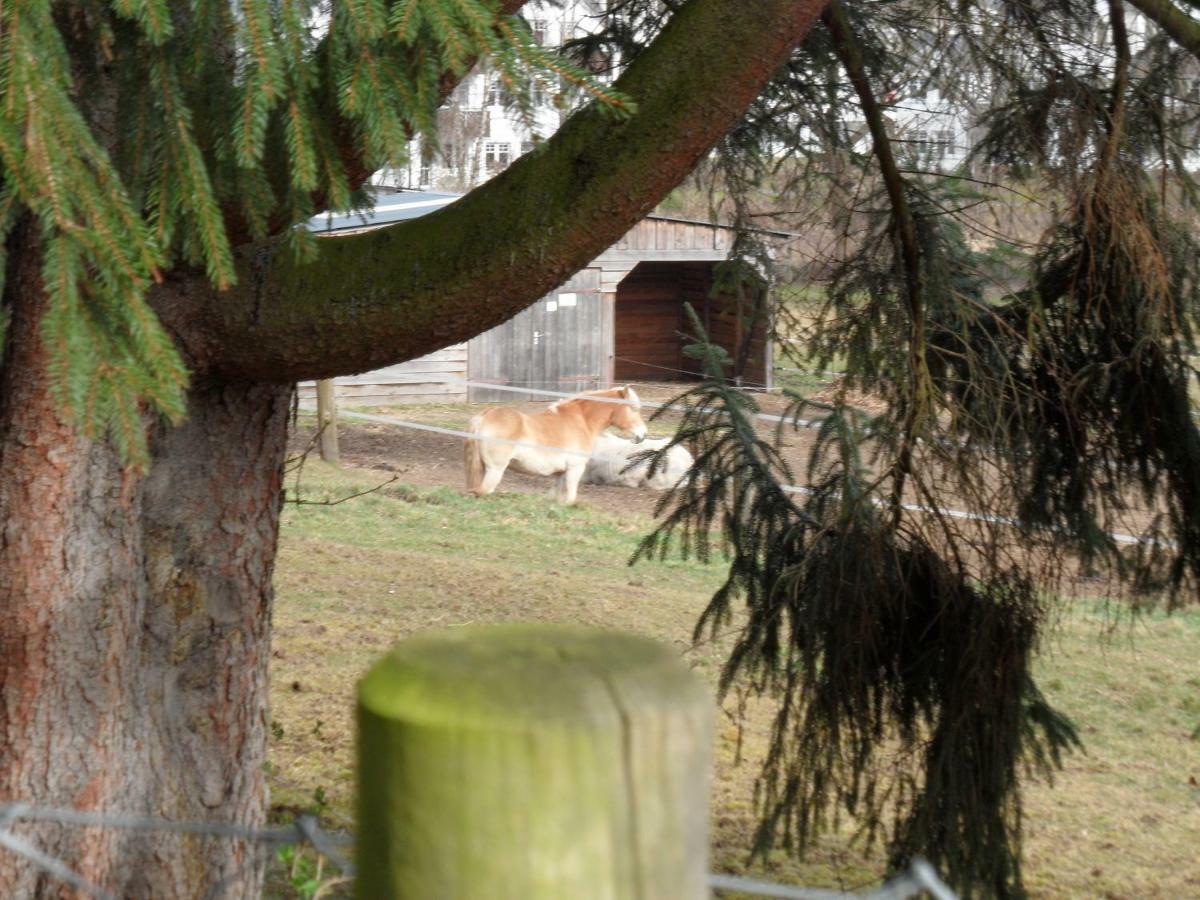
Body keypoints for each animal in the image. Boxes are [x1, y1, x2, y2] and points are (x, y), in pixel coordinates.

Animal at [463, 384, 648, 504]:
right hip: (495, 470)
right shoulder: (575, 468)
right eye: (634, 409)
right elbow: (570, 498)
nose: (643, 434)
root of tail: (484, 416)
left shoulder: (560, 473)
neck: (581, 421)